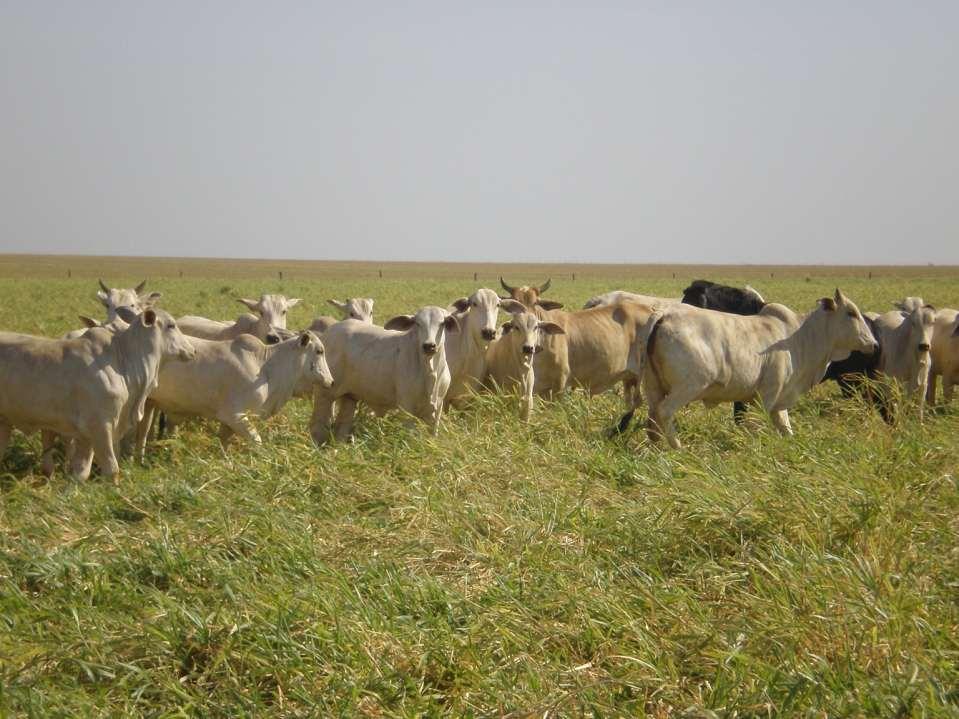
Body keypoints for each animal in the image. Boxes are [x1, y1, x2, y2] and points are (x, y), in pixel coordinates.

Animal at [0, 308, 196, 480]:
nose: (192, 350)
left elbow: (81, 472)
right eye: (171, 325)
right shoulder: (100, 426)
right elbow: (111, 469)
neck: (123, 363)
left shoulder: (86, 435)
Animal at [135, 330, 330, 458]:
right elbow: (256, 441)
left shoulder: (229, 422)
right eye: (319, 351)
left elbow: (224, 442)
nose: (331, 381)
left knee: (143, 432)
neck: (266, 367)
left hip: (149, 403)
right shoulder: (235, 415)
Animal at [308, 308, 458, 448]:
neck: (430, 372)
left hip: (349, 397)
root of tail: (330, 332)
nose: (429, 346)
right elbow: (410, 436)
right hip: (325, 393)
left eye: (442, 323)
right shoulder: (407, 407)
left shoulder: (437, 408)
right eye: (417, 323)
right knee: (318, 426)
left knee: (342, 426)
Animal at [628, 288, 880, 448]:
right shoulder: (766, 395)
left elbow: (785, 427)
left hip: (654, 387)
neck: (799, 337)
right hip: (688, 387)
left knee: (653, 418)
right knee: (664, 412)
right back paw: (678, 447)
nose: (874, 344)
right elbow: (757, 424)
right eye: (851, 313)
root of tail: (664, 315)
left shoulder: (778, 401)